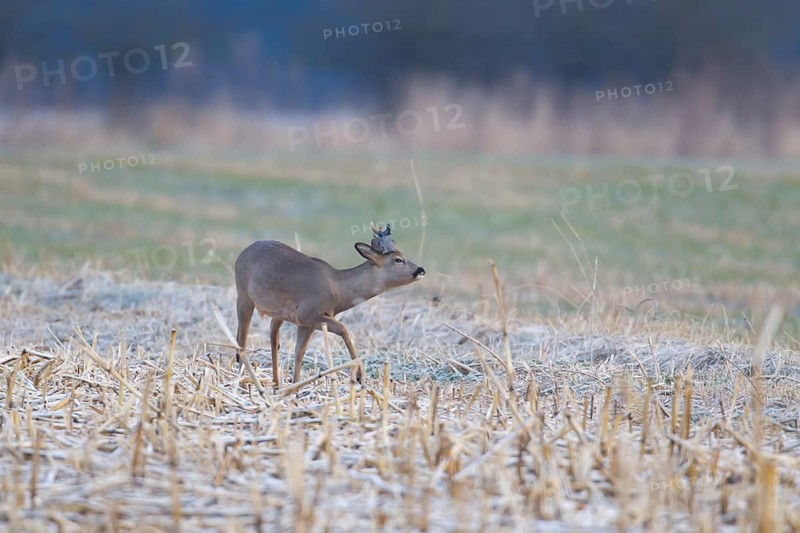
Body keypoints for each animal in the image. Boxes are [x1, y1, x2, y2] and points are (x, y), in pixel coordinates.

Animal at [234, 225, 425, 387]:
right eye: (398, 259)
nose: (421, 270)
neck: (337, 288)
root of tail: (243, 252)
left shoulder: (306, 322)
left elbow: (299, 353)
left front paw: (295, 387)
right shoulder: (309, 314)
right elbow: (344, 329)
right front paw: (359, 376)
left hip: (277, 313)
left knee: (273, 340)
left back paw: (275, 384)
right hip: (243, 296)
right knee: (242, 340)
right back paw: (242, 381)